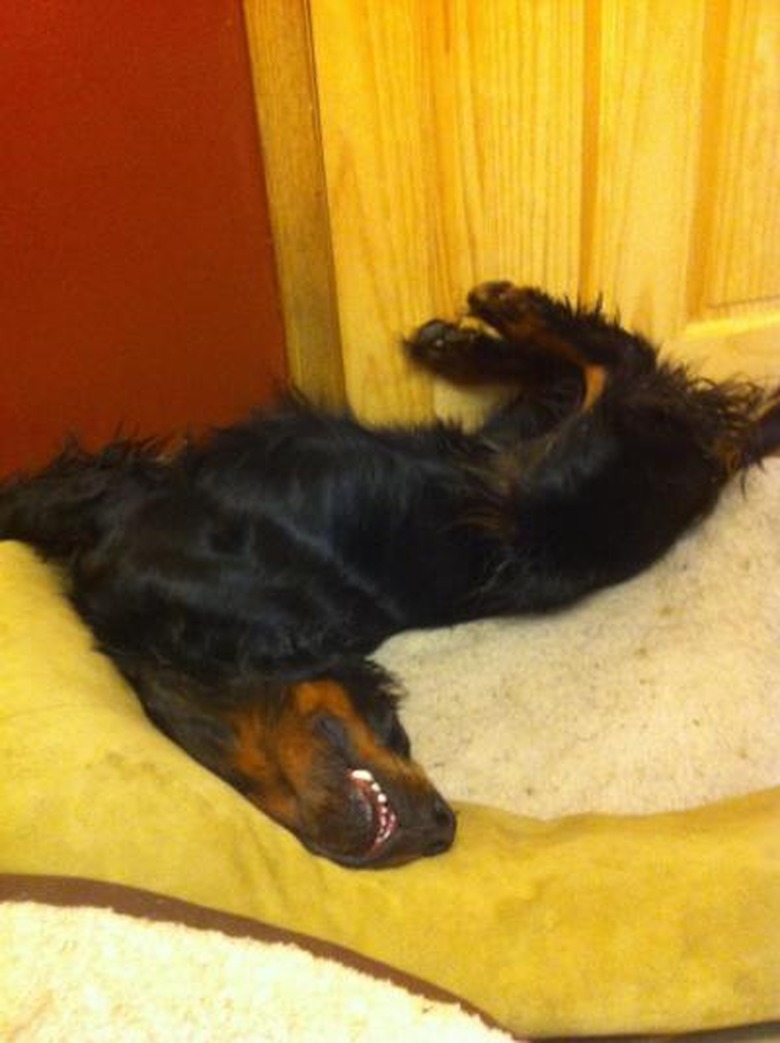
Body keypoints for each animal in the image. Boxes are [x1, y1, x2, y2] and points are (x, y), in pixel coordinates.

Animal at [3, 281, 775, 867]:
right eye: (398, 730)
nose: (441, 830)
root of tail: (724, 453)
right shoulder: (108, 497)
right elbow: (33, 497)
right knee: (584, 371)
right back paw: (463, 342)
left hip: (537, 499)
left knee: (617, 360)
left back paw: (503, 307)